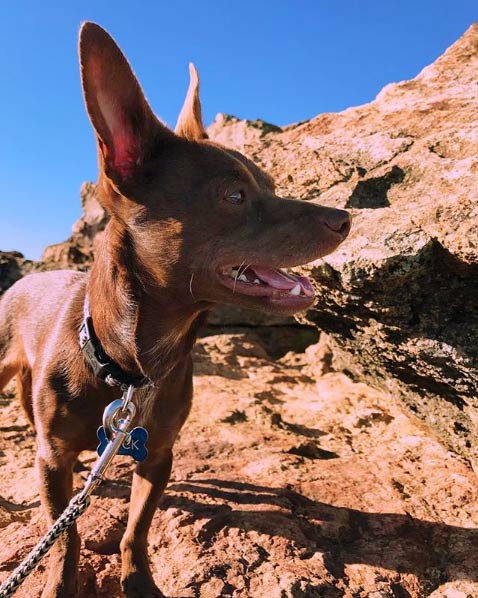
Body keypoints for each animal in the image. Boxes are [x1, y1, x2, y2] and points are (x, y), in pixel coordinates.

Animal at [0, 21, 352, 596]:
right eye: (234, 196)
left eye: (272, 185)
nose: (344, 218)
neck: (130, 368)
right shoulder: (53, 460)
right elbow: (66, 535)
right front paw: (59, 582)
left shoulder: (158, 453)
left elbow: (137, 527)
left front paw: (138, 580)